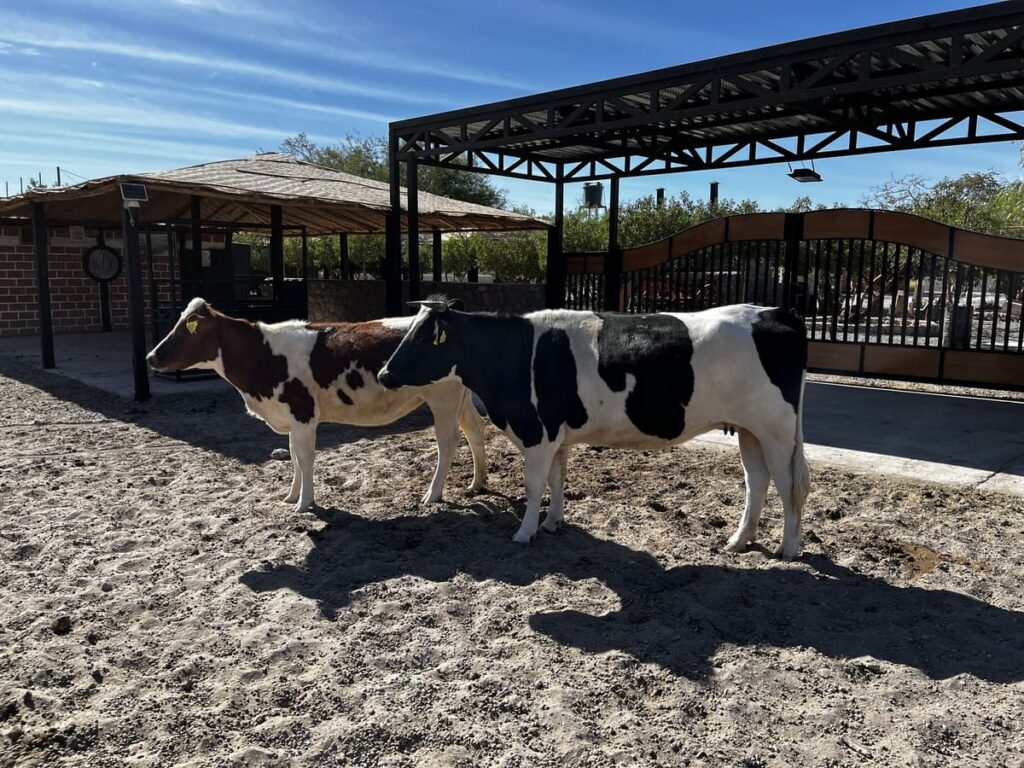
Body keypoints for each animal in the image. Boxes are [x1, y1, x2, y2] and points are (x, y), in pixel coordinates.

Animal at [146, 297, 487, 514]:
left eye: (188, 328)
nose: (150, 357)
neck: (263, 354)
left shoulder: (302, 410)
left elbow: (305, 457)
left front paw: (304, 503)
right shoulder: (291, 416)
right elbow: (294, 456)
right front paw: (291, 496)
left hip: (442, 398)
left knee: (448, 442)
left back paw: (433, 494)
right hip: (459, 397)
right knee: (474, 429)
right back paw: (478, 482)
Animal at [378, 301, 810, 559]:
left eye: (423, 338)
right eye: (408, 333)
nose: (383, 374)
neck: (515, 355)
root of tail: (775, 311)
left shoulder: (537, 432)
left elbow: (533, 485)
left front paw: (525, 532)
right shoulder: (557, 435)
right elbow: (557, 480)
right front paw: (551, 523)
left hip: (777, 431)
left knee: (788, 485)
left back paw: (788, 548)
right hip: (749, 430)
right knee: (757, 482)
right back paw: (738, 540)